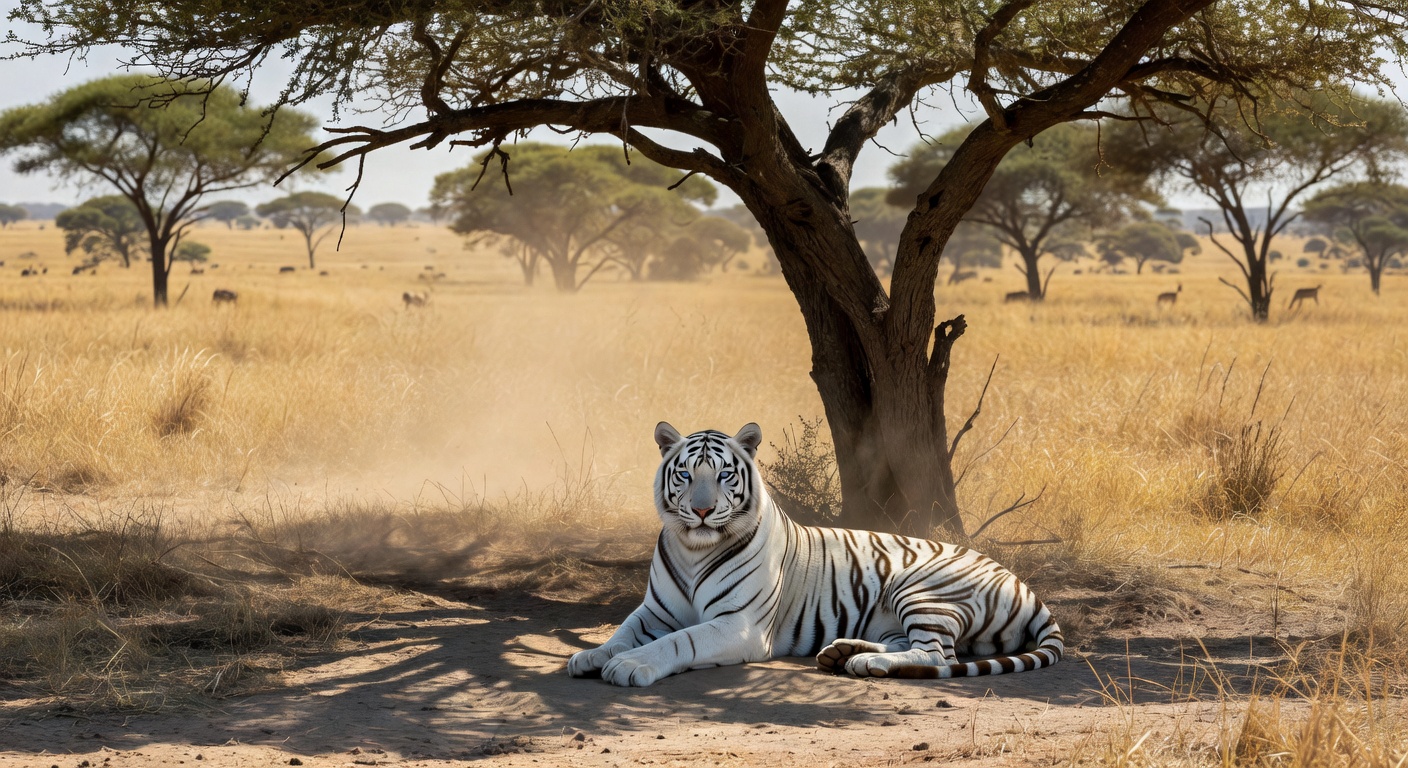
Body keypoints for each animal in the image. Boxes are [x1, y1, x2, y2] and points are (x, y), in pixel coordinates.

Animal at [566, 422, 1064, 687]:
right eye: (685, 475)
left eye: (725, 474)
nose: (703, 511)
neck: (693, 549)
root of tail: (1025, 585)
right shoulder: (655, 610)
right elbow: (624, 631)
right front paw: (593, 656)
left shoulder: (738, 624)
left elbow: (678, 641)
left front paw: (630, 665)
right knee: (917, 645)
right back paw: (842, 653)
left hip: (921, 588)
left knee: (939, 655)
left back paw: (867, 663)